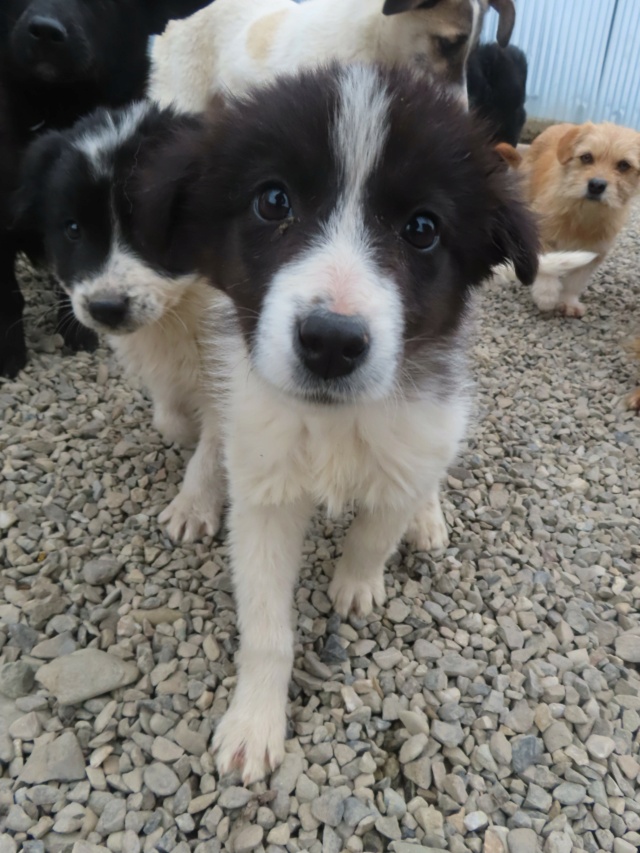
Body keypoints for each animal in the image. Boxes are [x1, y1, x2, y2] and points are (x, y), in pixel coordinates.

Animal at [15, 101, 228, 540]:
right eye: (72, 229)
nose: (105, 308)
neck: (183, 307)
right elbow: (168, 416)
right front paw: (186, 432)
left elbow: (215, 444)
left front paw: (193, 508)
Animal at [138, 60, 536, 784]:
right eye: (273, 201)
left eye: (422, 228)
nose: (330, 342)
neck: (334, 423)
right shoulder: (265, 487)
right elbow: (266, 625)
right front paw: (254, 723)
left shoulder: (418, 431)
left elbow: (378, 527)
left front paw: (356, 583)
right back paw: (197, 494)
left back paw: (428, 518)